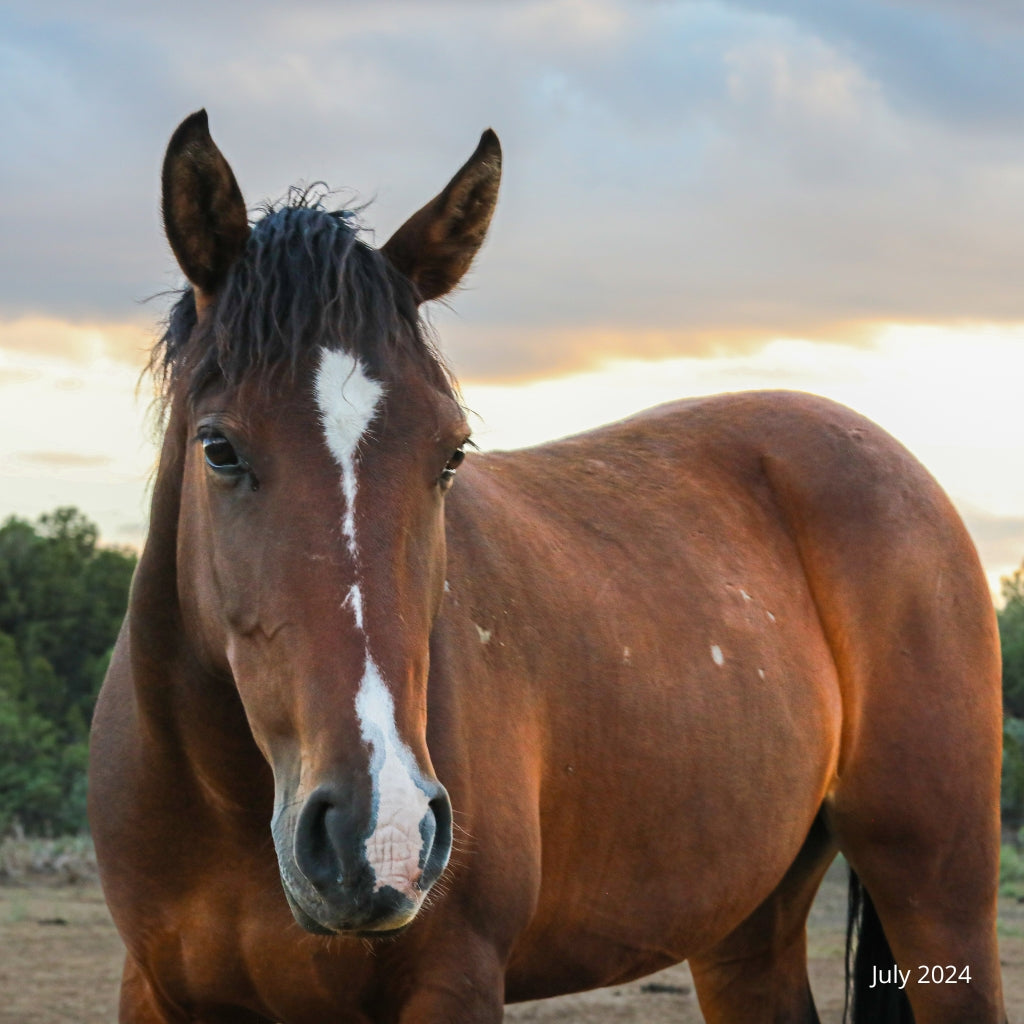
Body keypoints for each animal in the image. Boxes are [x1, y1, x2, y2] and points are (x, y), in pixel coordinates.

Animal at [90, 108, 1007, 1019]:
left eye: (450, 453)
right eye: (219, 448)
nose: (378, 834)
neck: (228, 806)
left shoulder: (456, 981)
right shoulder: (153, 988)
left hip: (940, 894)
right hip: (749, 922)